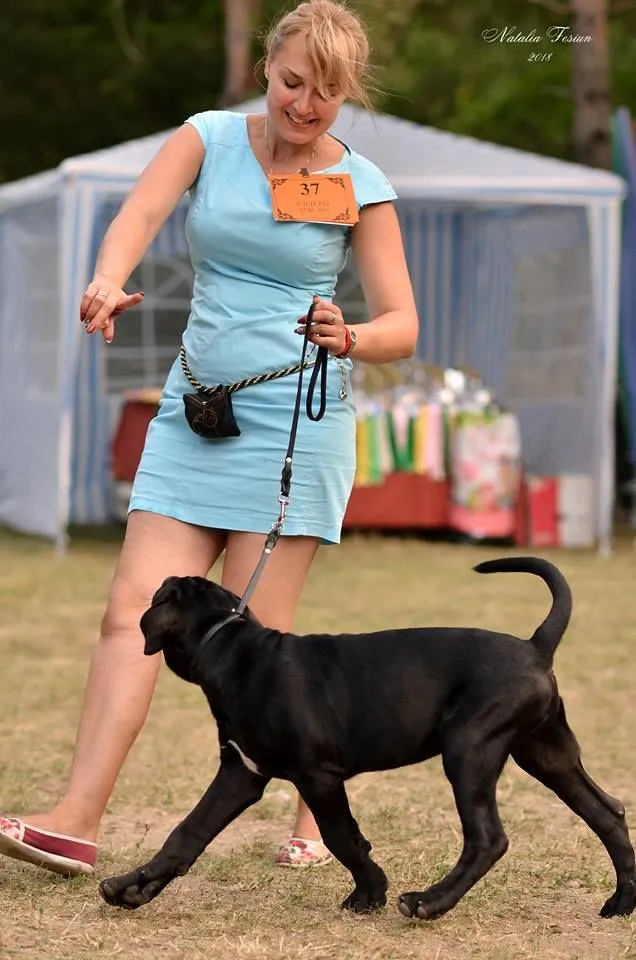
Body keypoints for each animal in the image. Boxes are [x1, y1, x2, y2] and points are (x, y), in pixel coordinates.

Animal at [99, 557, 636, 920]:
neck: (233, 647)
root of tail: (535, 647)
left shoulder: (317, 777)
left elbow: (342, 837)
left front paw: (370, 892)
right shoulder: (240, 774)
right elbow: (186, 833)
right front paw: (131, 888)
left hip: (470, 750)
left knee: (488, 838)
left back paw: (428, 902)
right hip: (546, 754)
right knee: (607, 812)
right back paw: (621, 903)